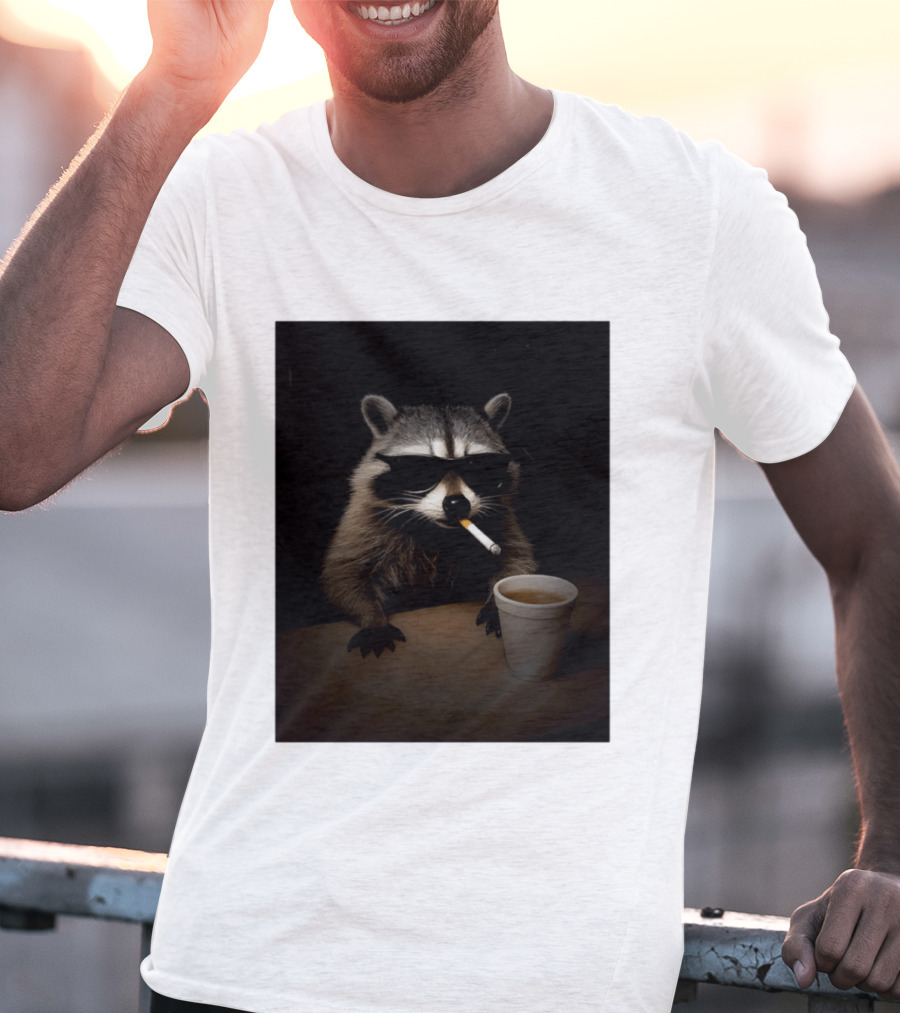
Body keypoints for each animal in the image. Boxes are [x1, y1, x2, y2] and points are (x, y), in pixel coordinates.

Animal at [322, 392, 537, 658]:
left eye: (476, 467)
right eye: (421, 469)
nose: (457, 504)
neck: (436, 531)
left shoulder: (502, 520)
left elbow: (517, 562)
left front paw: (497, 606)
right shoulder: (363, 522)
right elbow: (343, 576)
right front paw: (373, 620)